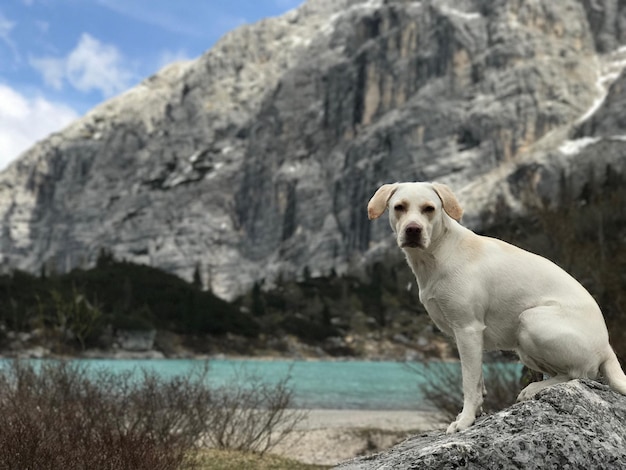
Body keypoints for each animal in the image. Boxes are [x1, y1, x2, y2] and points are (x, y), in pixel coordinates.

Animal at [366, 181, 624, 434]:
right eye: (399, 207)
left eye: (429, 209)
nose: (413, 230)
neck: (436, 254)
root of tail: (607, 346)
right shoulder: (467, 336)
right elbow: (478, 380)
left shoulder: (467, 329)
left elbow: (469, 382)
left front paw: (465, 420)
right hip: (524, 347)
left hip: (530, 320)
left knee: (579, 374)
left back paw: (534, 388)